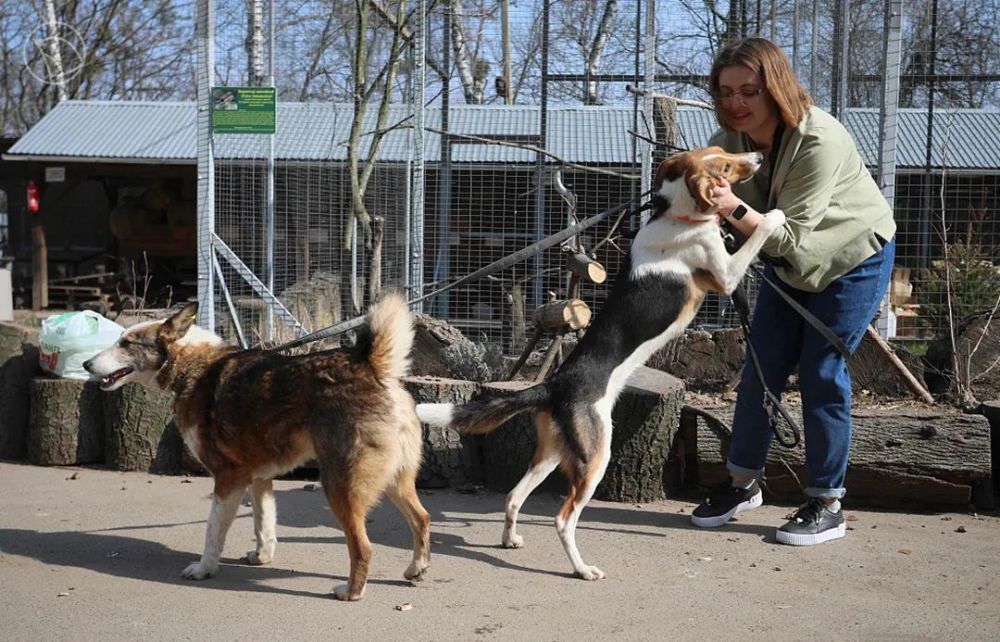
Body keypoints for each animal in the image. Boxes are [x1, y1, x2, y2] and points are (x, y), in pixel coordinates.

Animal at [83, 292, 430, 596]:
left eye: (126, 344)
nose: (86, 364)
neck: (195, 365)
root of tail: (371, 366)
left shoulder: (228, 480)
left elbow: (212, 533)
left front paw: (204, 568)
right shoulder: (259, 478)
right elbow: (264, 524)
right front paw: (262, 557)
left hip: (339, 487)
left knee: (363, 547)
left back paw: (351, 592)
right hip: (395, 483)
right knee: (422, 519)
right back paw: (416, 569)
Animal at [418, 148, 784, 576]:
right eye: (725, 165)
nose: (757, 155)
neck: (674, 214)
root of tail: (552, 385)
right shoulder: (725, 276)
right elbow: (755, 237)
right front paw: (775, 217)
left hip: (554, 452)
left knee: (513, 496)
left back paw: (511, 540)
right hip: (596, 456)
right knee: (563, 519)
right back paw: (582, 569)